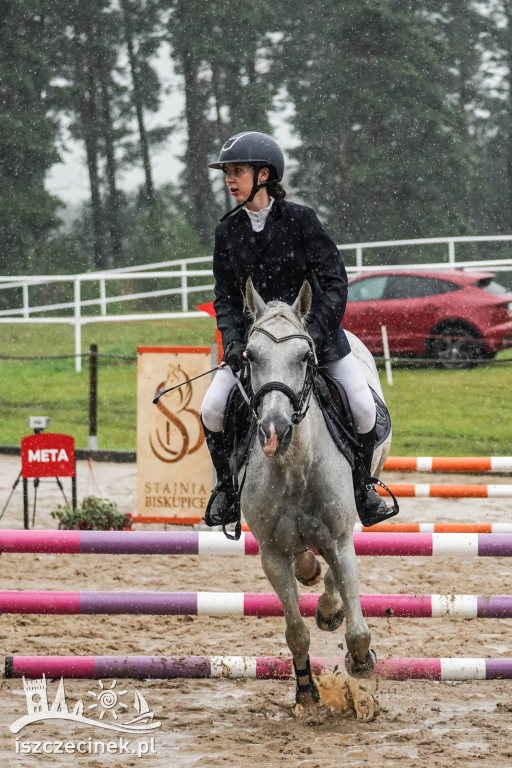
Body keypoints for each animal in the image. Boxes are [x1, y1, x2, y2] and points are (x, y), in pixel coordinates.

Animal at [242, 278, 390, 708]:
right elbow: (295, 631)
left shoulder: (339, 538)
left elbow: (357, 629)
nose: (274, 430)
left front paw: (361, 662)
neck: (294, 467)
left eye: (306, 356)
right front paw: (306, 688)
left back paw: (329, 607)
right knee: (307, 562)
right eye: (250, 356)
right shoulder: (271, 555)